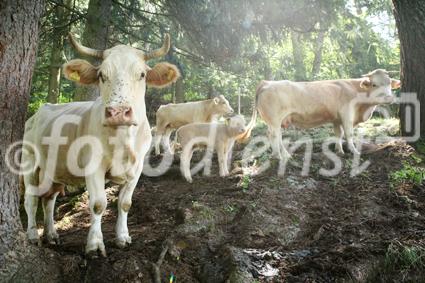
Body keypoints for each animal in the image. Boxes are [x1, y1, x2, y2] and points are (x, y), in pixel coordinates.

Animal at [21, 33, 179, 258]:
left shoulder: (137, 167)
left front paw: (123, 238)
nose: (119, 112)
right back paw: (33, 235)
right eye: (102, 75)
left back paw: (51, 235)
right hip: (30, 162)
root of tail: (37, 113)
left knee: (49, 200)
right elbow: (98, 204)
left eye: (141, 74)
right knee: (32, 199)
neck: (122, 140)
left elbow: (125, 203)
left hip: (55, 170)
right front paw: (95, 245)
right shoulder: (93, 166)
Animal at [240, 69, 400, 160]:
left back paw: (282, 154)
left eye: (389, 84)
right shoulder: (347, 114)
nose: (389, 98)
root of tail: (266, 83)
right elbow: (349, 134)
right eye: (374, 84)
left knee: (274, 135)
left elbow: (339, 134)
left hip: (273, 121)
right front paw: (354, 151)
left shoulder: (336, 118)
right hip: (274, 120)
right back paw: (279, 156)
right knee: (274, 136)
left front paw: (339, 150)